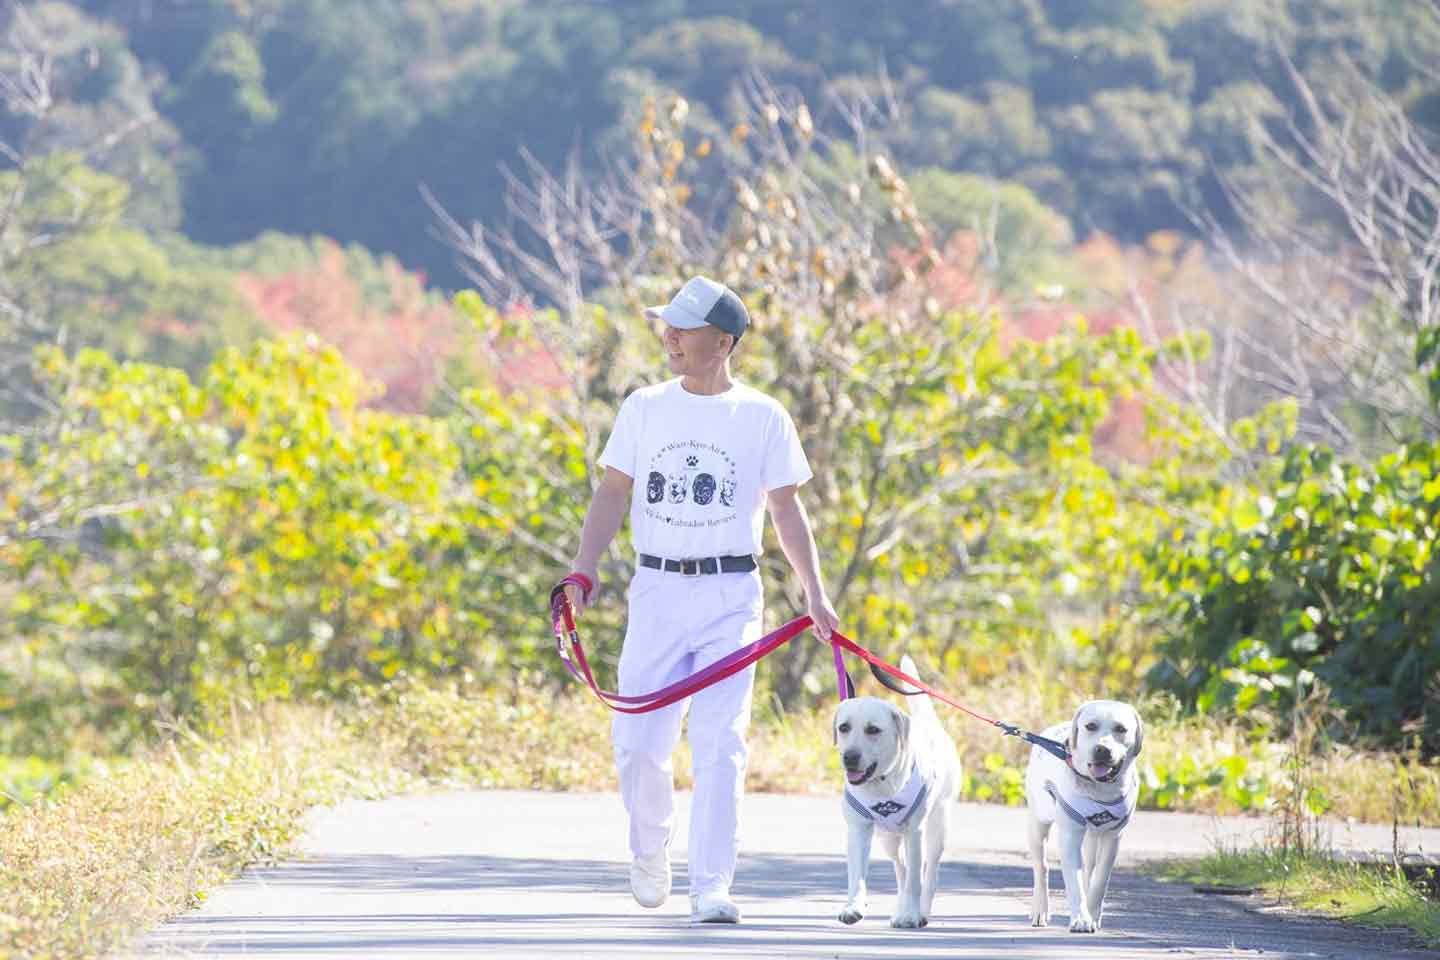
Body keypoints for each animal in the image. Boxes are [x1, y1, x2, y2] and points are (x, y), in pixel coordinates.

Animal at [829, 656, 961, 926]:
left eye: (873, 730)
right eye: (844, 727)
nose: (849, 758)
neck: (882, 784)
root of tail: (929, 723)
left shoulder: (914, 832)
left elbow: (915, 880)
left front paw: (910, 915)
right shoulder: (858, 829)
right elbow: (857, 875)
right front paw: (853, 907)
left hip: (937, 829)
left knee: (928, 873)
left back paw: (920, 912)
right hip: (888, 839)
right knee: (900, 869)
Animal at [1025, 702, 1146, 932]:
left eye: (1120, 729)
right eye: (1091, 726)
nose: (1102, 749)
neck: (1100, 788)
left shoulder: (1113, 836)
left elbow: (1100, 880)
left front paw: (1092, 915)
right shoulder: (1070, 835)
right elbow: (1074, 881)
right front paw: (1081, 919)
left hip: (1092, 836)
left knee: (1090, 867)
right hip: (1038, 823)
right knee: (1041, 868)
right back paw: (1040, 910)